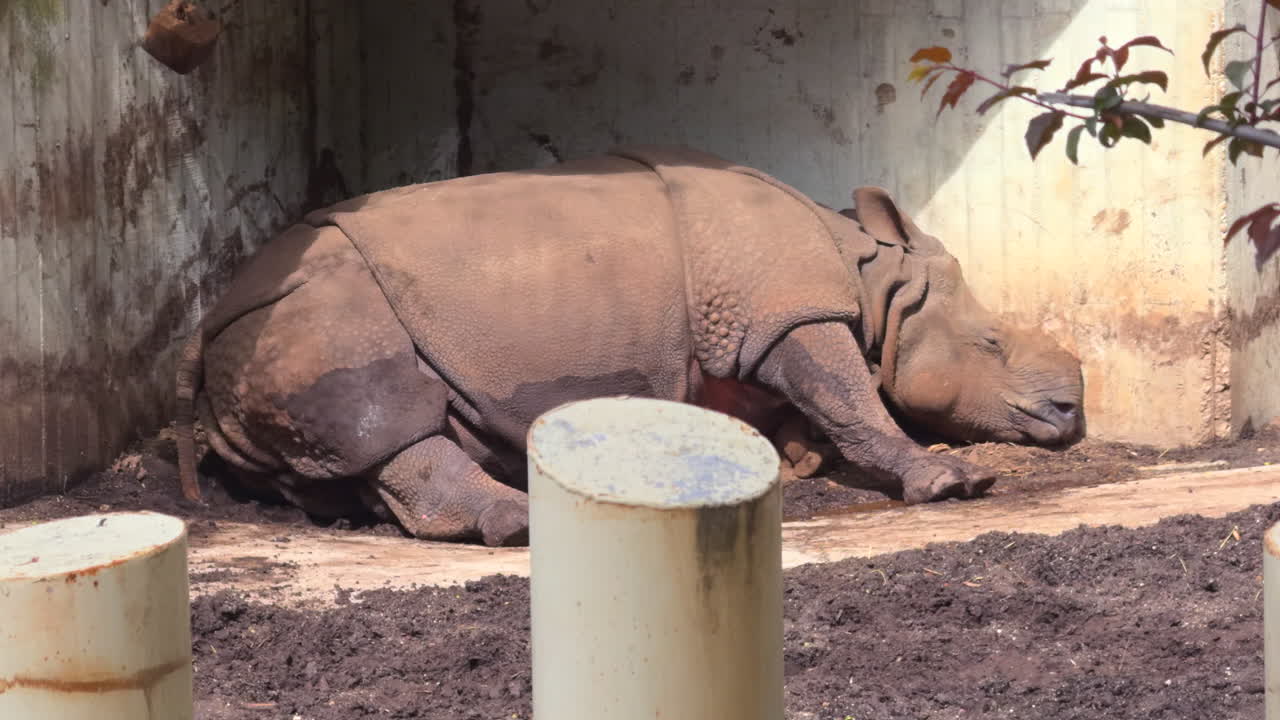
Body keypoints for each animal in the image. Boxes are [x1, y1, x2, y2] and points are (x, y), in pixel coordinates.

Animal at [174, 145, 1084, 546]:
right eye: (993, 342)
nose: (1073, 413)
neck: (871, 283)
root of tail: (207, 323)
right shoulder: (786, 313)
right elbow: (850, 396)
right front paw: (952, 483)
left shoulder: (736, 335)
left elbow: (812, 408)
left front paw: (795, 461)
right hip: (322, 314)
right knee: (388, 415)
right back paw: (519, 521)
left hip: (276, 330)